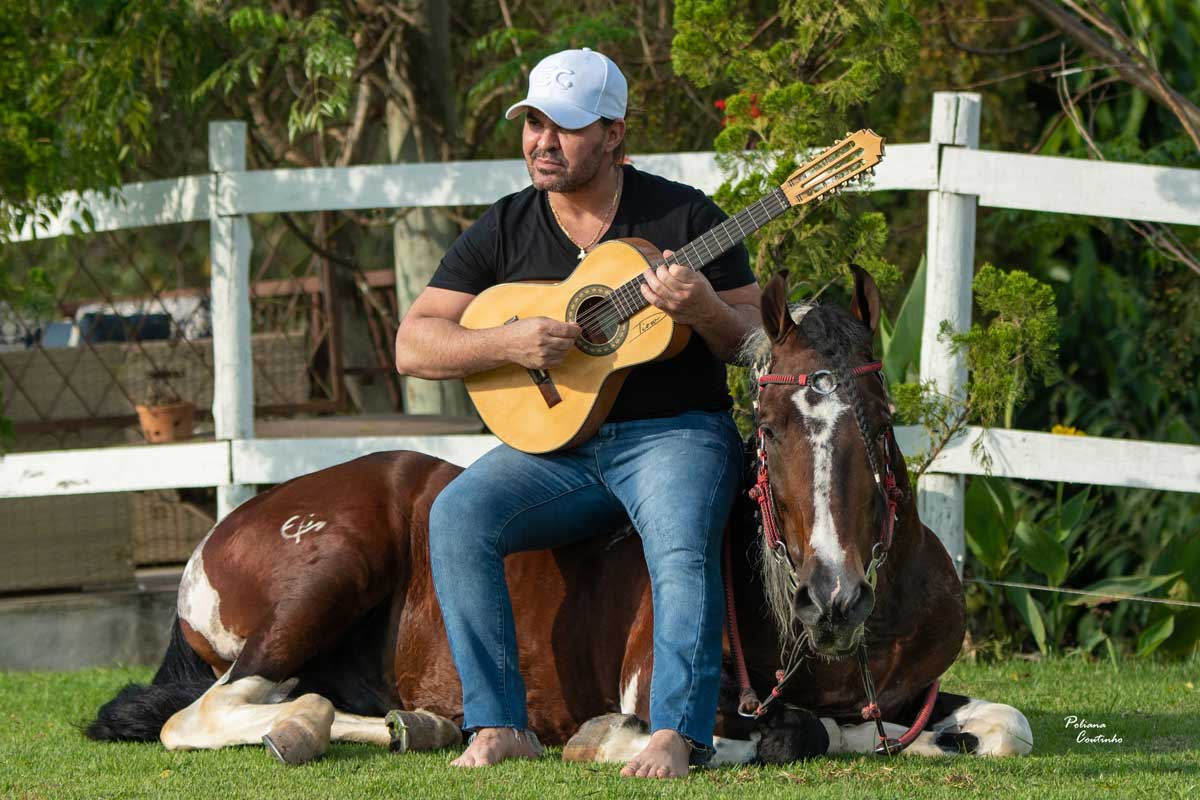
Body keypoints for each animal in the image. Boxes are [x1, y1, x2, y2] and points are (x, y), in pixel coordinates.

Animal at [88, 267, 1032, 762]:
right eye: (767, 427)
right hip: (328, 573)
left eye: (878, 422)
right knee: (199, 715)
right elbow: (778, 732)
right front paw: (608, 739)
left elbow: (1004, 726)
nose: (831, 598)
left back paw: (415, 723)